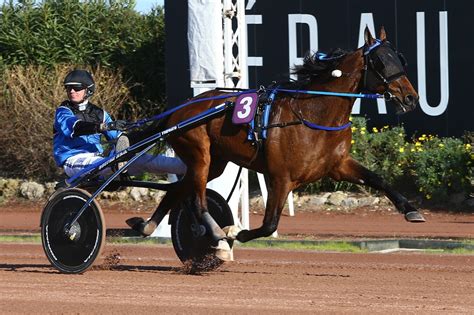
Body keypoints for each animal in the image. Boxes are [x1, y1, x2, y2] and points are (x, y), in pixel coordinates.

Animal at [126, 26, 426, 260]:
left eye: (399, 58)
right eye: (381, 62)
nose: (411, 98)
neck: (314, 113)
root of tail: (178, 111)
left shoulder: (338, 166)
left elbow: (378, 179)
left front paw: (412, 211)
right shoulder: (281, 177)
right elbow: (269, 225)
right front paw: (234, 232)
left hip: (215, 162)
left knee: (178, 189)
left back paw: (147, 226)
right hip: (199, 153)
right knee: (197, 202)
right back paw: (216, 236)